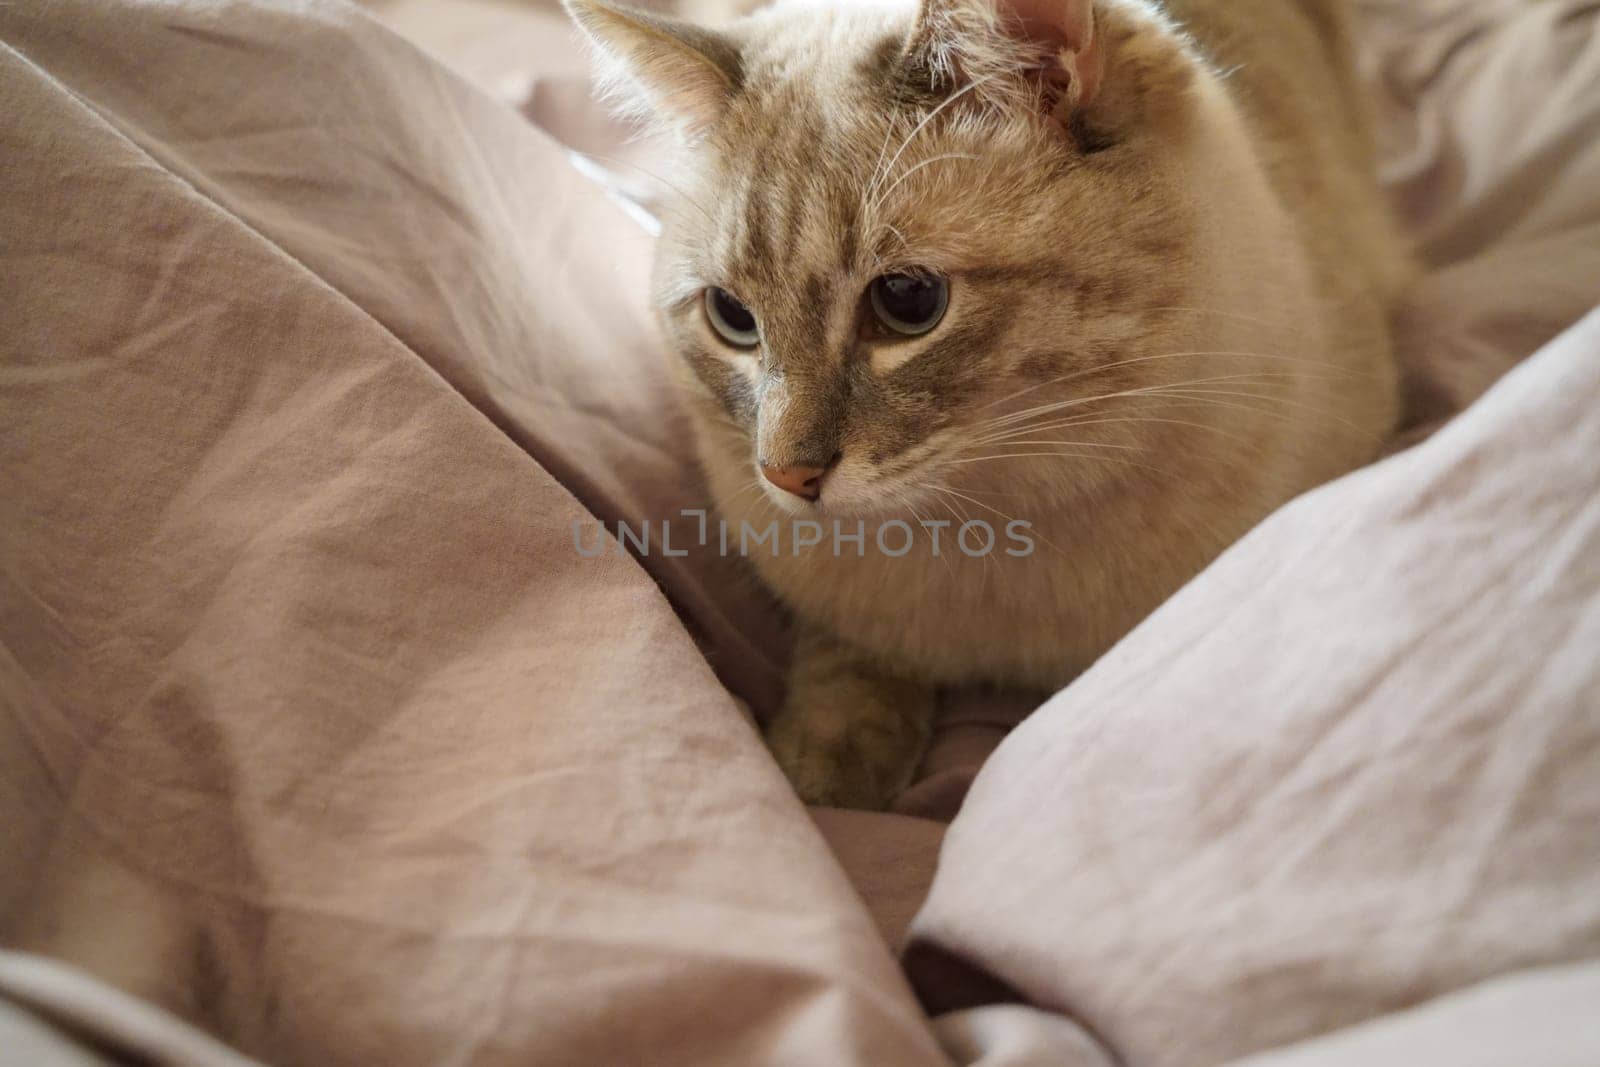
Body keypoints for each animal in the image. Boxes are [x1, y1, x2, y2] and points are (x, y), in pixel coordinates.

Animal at [566, 0, 1414, 806]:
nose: (787, 477)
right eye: (732, 318)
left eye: (909, 301)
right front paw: (822, 772)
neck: (985, 530)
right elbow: (847, 668)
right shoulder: (833, 607)